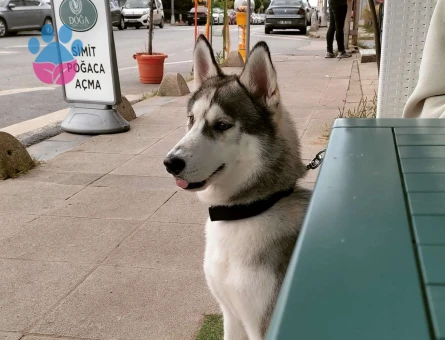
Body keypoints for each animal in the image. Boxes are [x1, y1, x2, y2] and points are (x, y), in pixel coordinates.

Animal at [162, 35, 308, 338]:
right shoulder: (230, 313)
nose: (170, 163)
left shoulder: (262, 325)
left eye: (221, 125)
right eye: (191, 119)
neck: (245, 211)